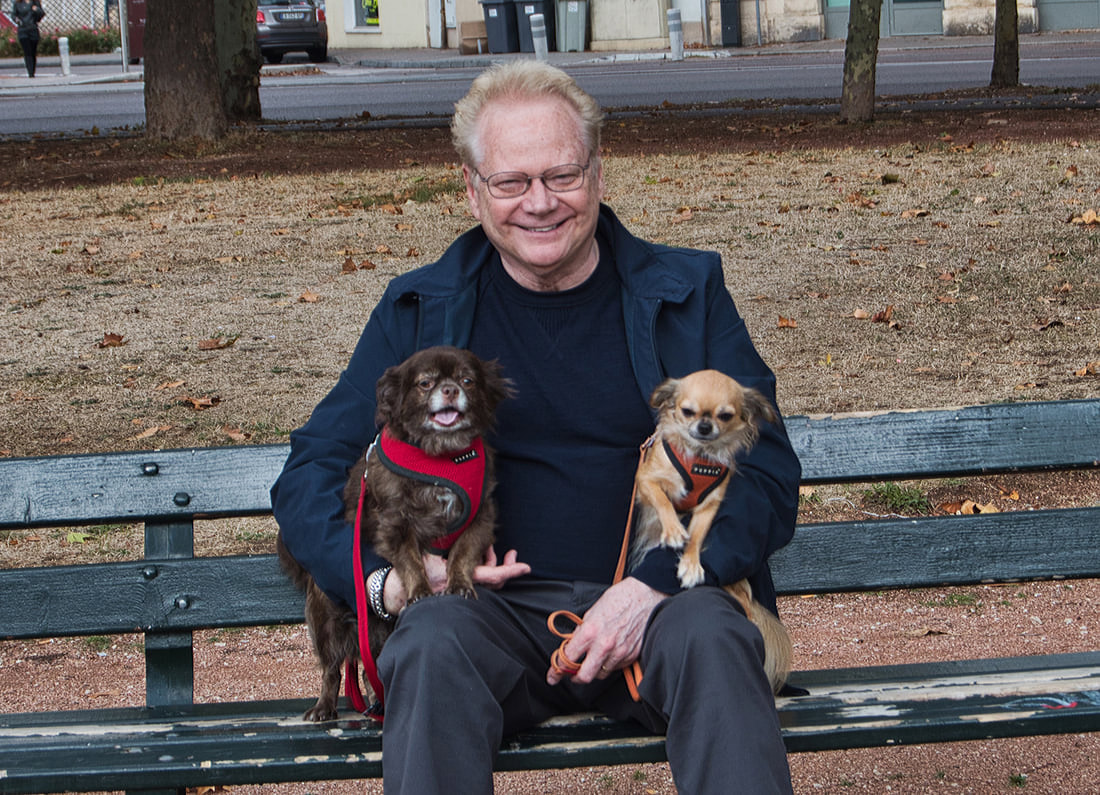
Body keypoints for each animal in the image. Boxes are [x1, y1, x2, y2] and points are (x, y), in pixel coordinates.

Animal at [277, 347, 512, 721]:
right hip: (327, 621)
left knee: (374, 674)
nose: (449, 390)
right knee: (332, 670)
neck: (441, 456)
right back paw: (324, 707)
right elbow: (413, 562)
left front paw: (459, 583)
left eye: (467, 380)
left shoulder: (479, 519)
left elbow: (460, 554)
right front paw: (420, 591)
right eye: (425, 383)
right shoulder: (395, 524)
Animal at [633, 369, 796, 694]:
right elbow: (664, 502)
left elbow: (697, 537)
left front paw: (691, 565)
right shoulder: (648, 481)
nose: (705, 426)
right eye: (687, 411)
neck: (698, 456)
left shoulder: (709, 504)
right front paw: (673, 530)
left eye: (725, 415)